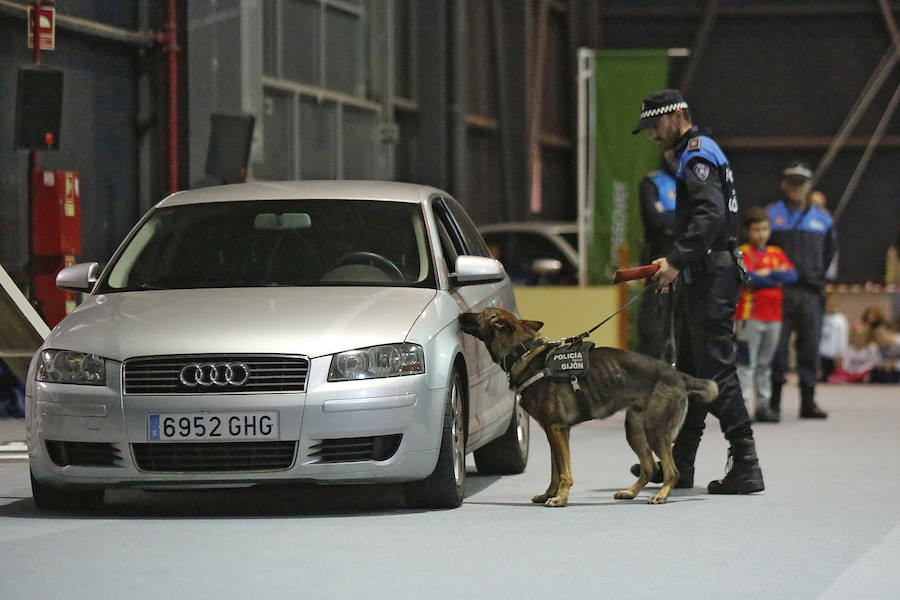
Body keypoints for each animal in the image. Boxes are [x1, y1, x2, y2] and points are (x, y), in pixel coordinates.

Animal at [460, 308, 712, 504]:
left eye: (480, 313)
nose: (460, 315)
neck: (522, 351)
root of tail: (677, 374)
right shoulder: (554, 432)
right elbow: (555, 470)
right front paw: (549, 494)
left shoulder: (557, 430)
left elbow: (564, 472)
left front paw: (561, 498)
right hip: (634, 430)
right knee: (649, 467)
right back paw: (630, 492)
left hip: (655, 430)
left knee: (672, 471)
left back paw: (661, 495)